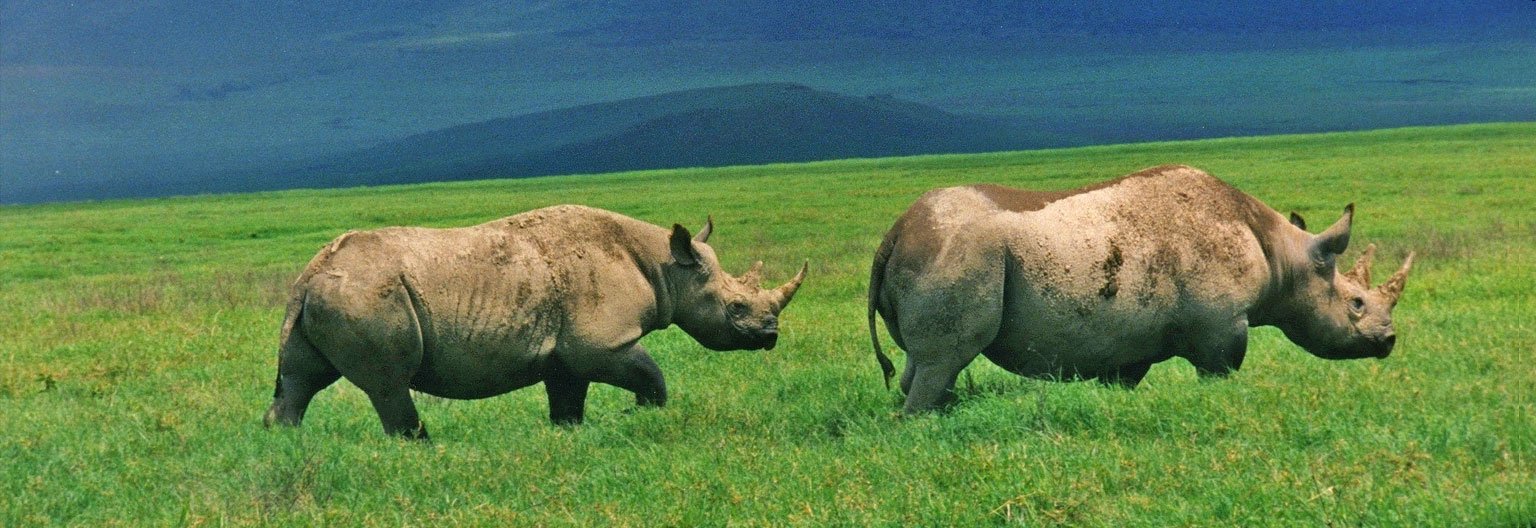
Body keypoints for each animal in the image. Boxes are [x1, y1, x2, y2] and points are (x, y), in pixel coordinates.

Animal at [263, 205, 807, 439]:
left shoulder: (565, 352)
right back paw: (423, 448)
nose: (771, 336)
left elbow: (567, 400)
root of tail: (308, 276)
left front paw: (571, 435)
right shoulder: (601, 342)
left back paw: (284, 443)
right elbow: (652, 376)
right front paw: (638, 416)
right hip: (367, 296)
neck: (667, 267)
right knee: (388, 384)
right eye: (736, 309)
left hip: (329, 296)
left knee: (300, 380)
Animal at [868, 165, 1414, 414]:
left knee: (923, 363)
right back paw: (923, 421)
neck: (1285, 257)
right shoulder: (1220, 326)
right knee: (943, 361)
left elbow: (1121, 379)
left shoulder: (1128, 341)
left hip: (940, 250)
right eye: (1356, 303)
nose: (1388, 341)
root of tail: (895, 231)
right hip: (959, 251)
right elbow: (1220, 372)